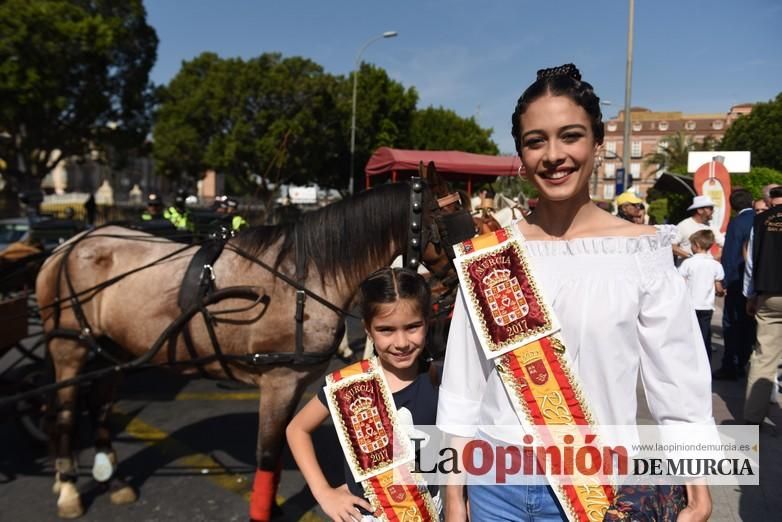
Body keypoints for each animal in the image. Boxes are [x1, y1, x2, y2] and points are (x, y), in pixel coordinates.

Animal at [35, 174, 466, 516]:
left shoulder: (294, 382)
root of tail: (65, 248)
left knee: (100, 406)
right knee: (66, 413)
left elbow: (278, 451)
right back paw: (68, 486)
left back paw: (110, 478)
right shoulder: (278, 380)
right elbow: (268, 453)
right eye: (449, 224)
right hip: (69, 350)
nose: (455, 286)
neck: (301, 279)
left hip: (114, 349)